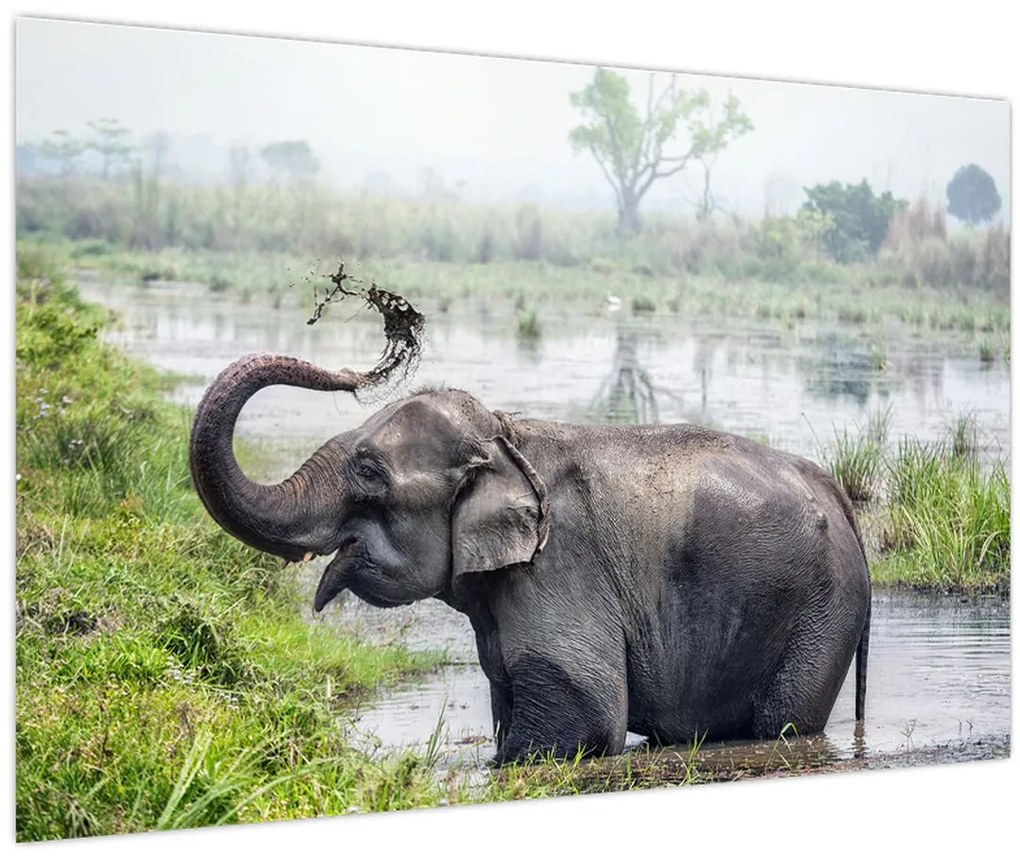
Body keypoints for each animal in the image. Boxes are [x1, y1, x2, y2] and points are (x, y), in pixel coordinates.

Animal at [190, 351, 871, 764]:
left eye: (370, 471)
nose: (353, 373)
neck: (506, 434)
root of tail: (838, 495)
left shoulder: (558, 567)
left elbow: (585, 718)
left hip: (820, 612)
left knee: (784, 723)